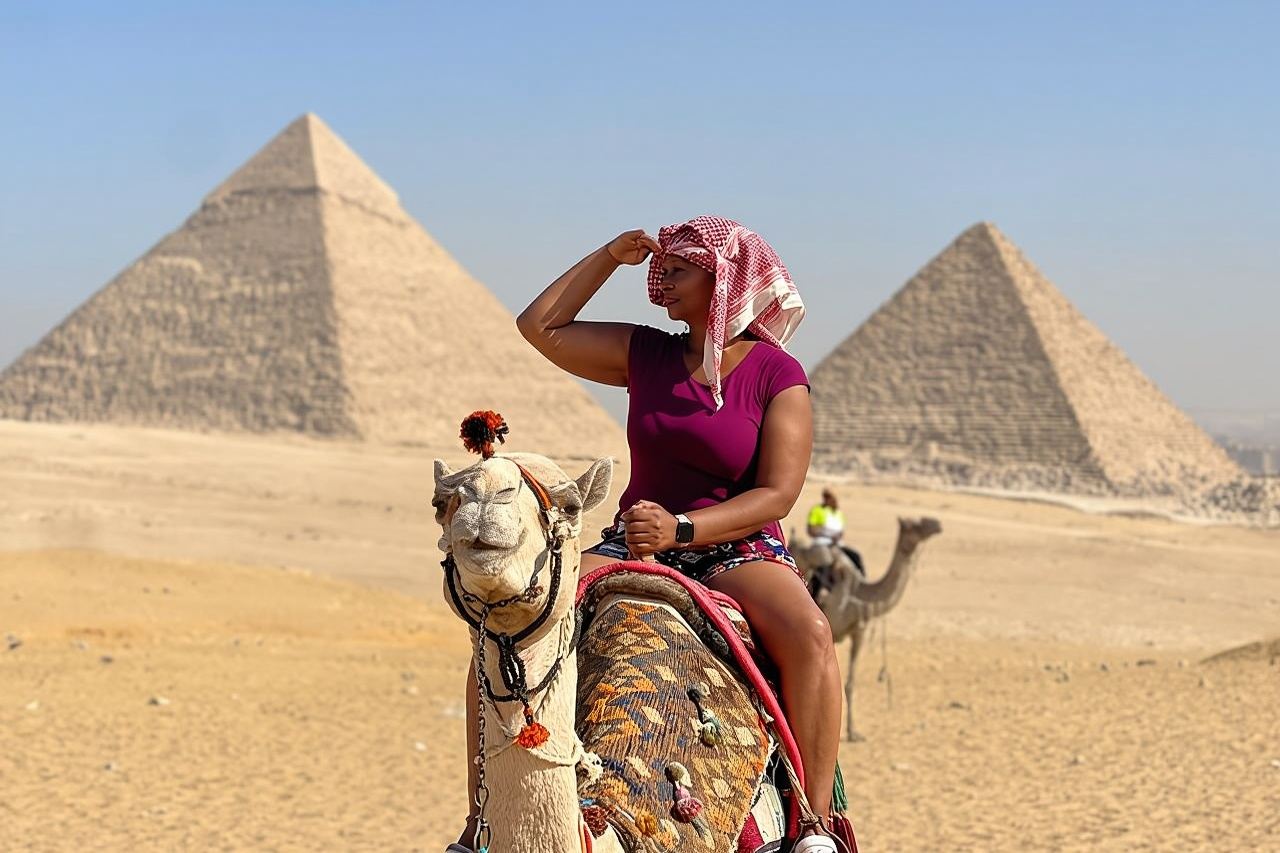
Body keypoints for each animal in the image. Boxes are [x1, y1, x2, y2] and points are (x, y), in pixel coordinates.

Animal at [792, 518, 942, 741]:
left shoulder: (859, 632)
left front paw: (853, 732)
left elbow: (849, 683)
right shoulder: (831, 628)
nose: (937, 524)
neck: (859, 593)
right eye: (915, 523)